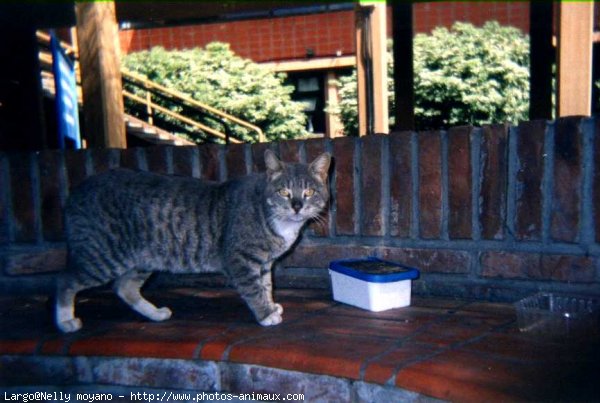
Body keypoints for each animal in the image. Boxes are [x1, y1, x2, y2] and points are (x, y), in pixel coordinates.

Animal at [54, 150, 330, 332]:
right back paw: (66, 320)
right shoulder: (241, 259)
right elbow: (254, 289)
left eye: (309, 191)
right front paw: (266, 315)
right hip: (102, 254)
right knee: (66, 281)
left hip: (142, 258)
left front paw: (271, 305)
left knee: (124, 287)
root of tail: (75, 192)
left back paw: (155, 314)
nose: (297, 205)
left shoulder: (262, 264)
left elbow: (266, 285)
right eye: (284, 191)